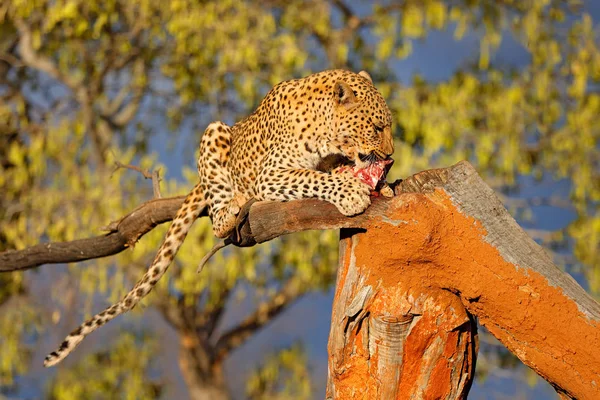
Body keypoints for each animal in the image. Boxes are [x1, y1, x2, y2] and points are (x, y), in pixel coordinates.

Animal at [44, 69, 396, 366]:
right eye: (377, 127)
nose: (391, 154)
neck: (324, 131)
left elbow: (331, 171)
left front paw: (382, 185)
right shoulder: (271, 175)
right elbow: (314, 179)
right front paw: (352, 194)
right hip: (214, 131)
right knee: (217, 221)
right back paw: (234, 205)